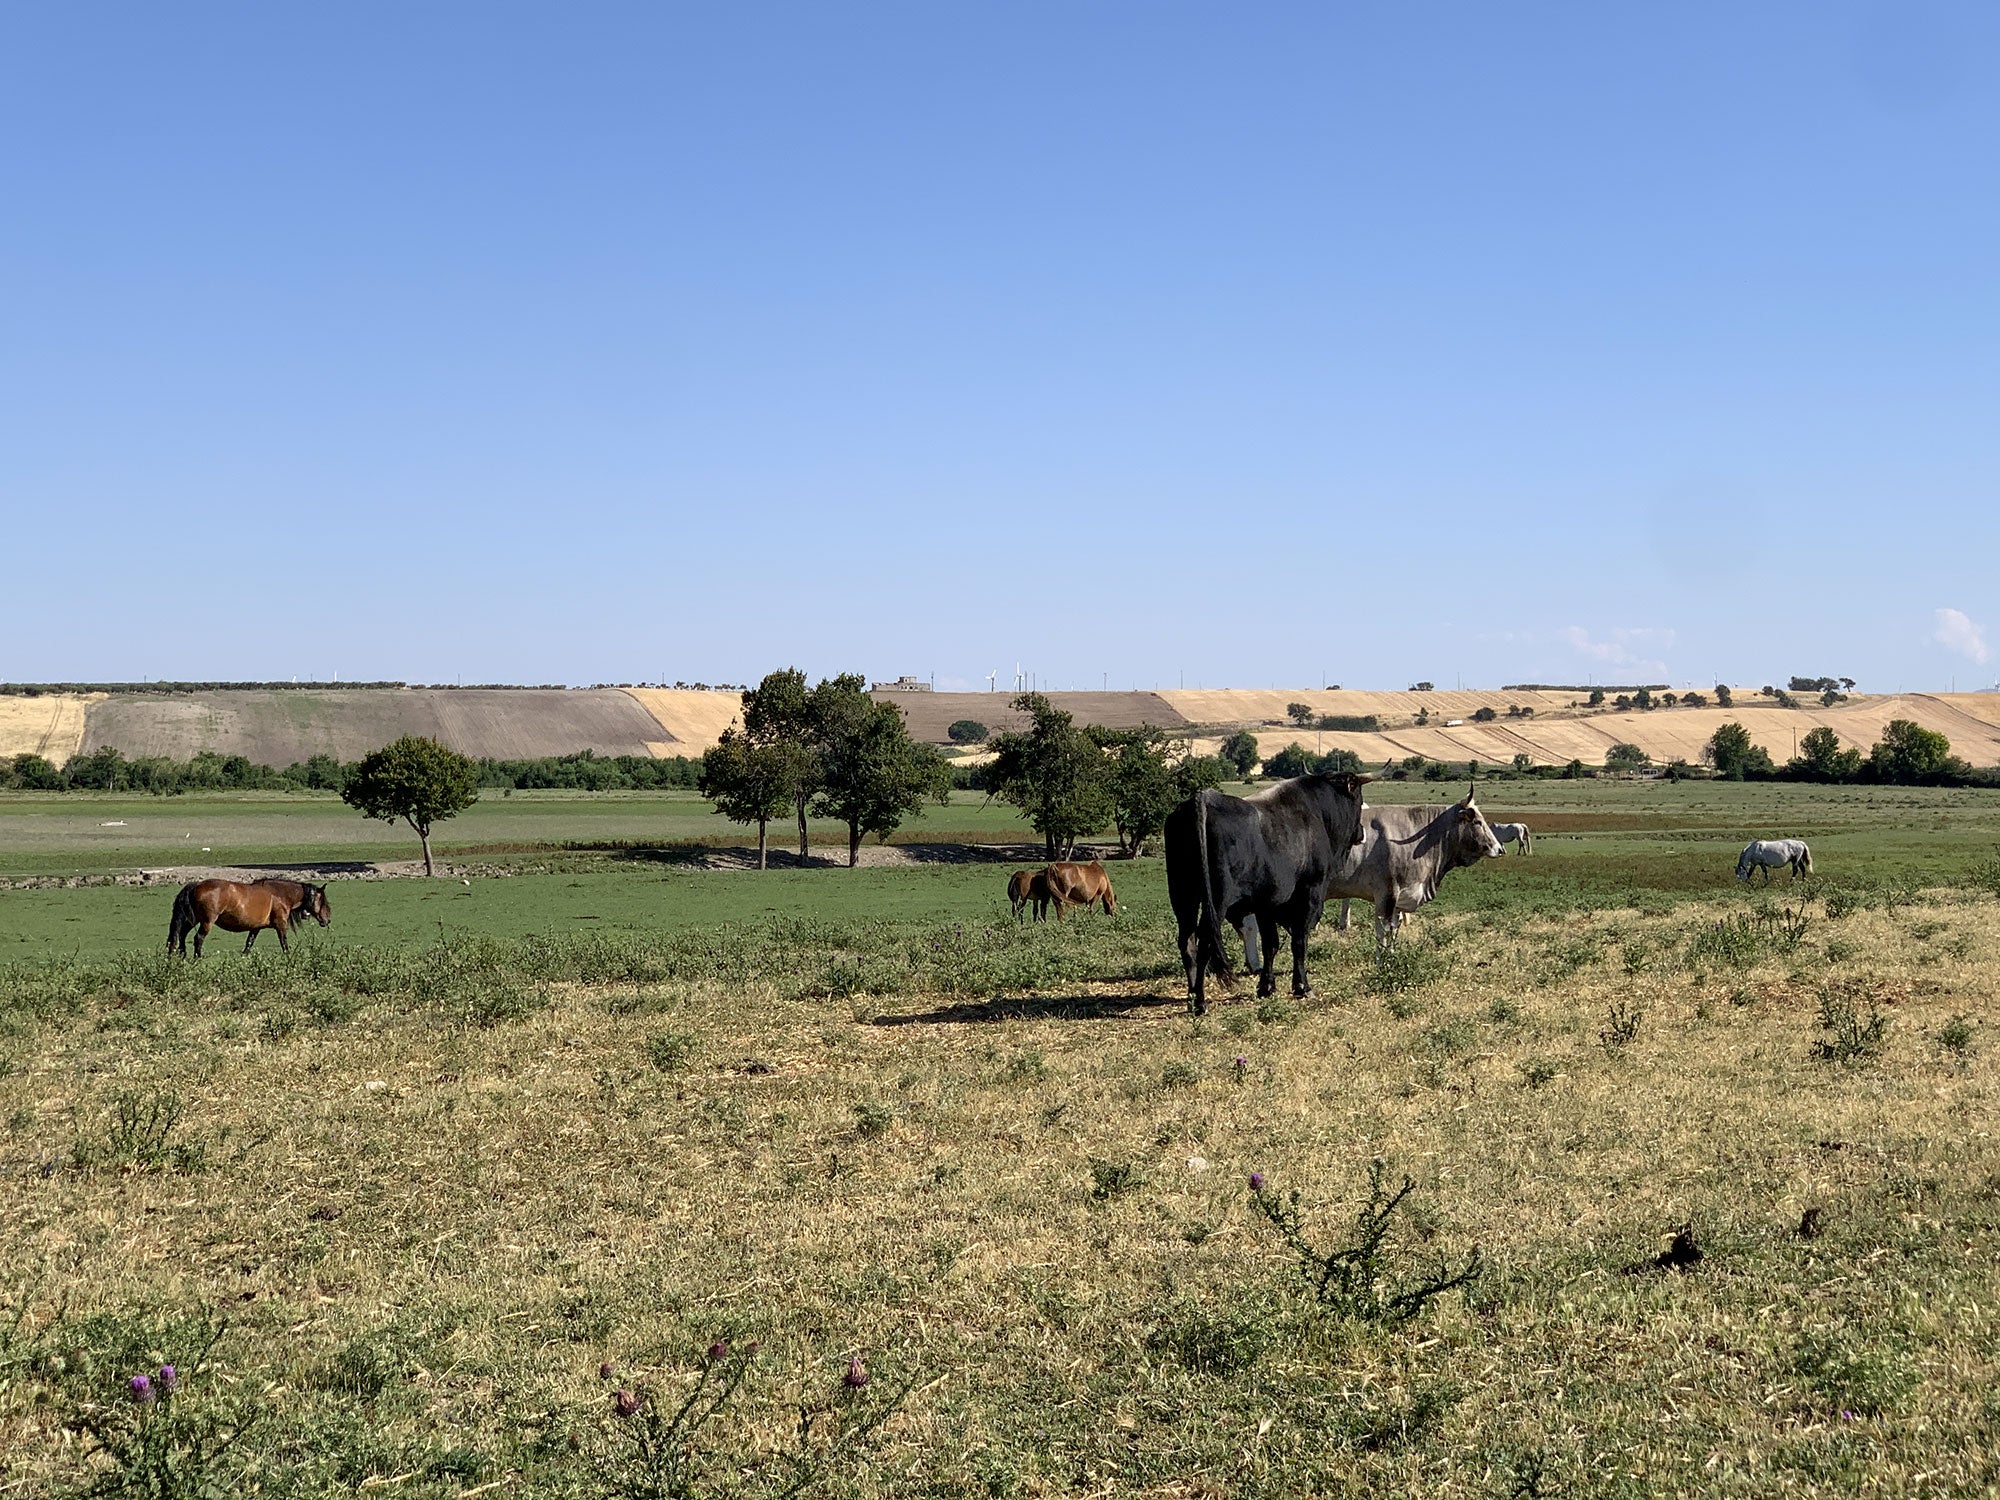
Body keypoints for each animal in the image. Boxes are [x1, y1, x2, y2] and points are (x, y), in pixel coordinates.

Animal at [168, 880, 332, 964]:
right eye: (323, 900)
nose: (327, 920)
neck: (280, 894)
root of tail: (196, 885)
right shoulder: (280, 925)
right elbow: (284, 943)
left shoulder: (255, 927)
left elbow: (249, 943)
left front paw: (243, 957)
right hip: (207, 921)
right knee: (198, 938)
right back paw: (197, 958)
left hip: (192, 919)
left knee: (181, 934)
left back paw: (181, 955)